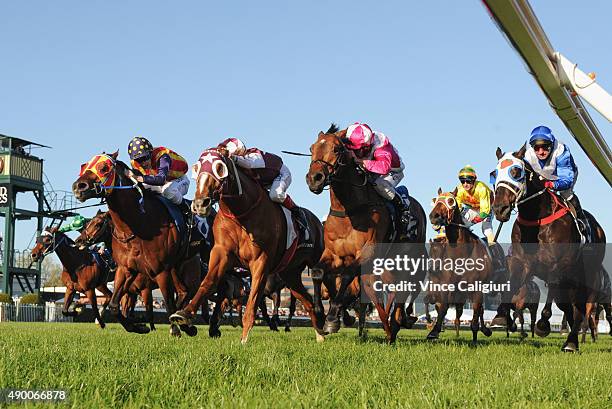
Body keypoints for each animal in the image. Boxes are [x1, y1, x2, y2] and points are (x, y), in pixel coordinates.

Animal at [72, 151, 198, 336]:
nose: (78, 187)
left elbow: (166, 304)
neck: (140, 226)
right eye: (85, 165)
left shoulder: (159, 272)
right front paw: (138, 326)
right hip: (175, 269)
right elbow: (115, 305)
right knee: (183, 292)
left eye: (104, 168)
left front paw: (174, 330)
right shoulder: (126, 269)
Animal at [170, 147, 326, 342]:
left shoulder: (260, 261)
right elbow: (208, 283)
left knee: (321, 282)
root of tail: (317, 221)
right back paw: (319, 332)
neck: (241, 213)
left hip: (315, 261)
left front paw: (244, 338)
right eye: (196, 169)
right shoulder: (221, 254)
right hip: (290, 273)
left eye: (219, 168)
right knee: (307, 301)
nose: (200, 204)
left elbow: (253, 300)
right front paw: (184, 314)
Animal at [304, 123, 426, 342]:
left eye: (337, 149)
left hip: (409, 261)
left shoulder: (367, 252)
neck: (349, 211)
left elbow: (347, 275)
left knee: (405, 290)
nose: (314, 179)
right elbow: (318, 272)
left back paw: (399, 322)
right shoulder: (332, 254)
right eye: (311, 148)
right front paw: (320, 313)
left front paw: (332, 318)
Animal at [426, 190, 498, 342]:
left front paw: (475, 339)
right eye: (436, 200)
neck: (462, 254)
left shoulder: (477, 288)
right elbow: (442, 307)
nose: (434, 216)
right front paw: (434, 331)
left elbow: (476, 314)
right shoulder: (446, 285)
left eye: (451, 201)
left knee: (480, 310)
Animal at [490, 146, 604, 350]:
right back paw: (571, 340)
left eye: (516, 172)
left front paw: (543, 324)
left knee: (581, 308)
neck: (537, 219)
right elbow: (513, 284)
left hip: (587, 277)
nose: (500, 208)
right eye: (494, 173)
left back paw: (571, 342)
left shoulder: (558, 265)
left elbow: (551, 288)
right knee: (571, 308)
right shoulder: (522, 262)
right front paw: (501, 316)